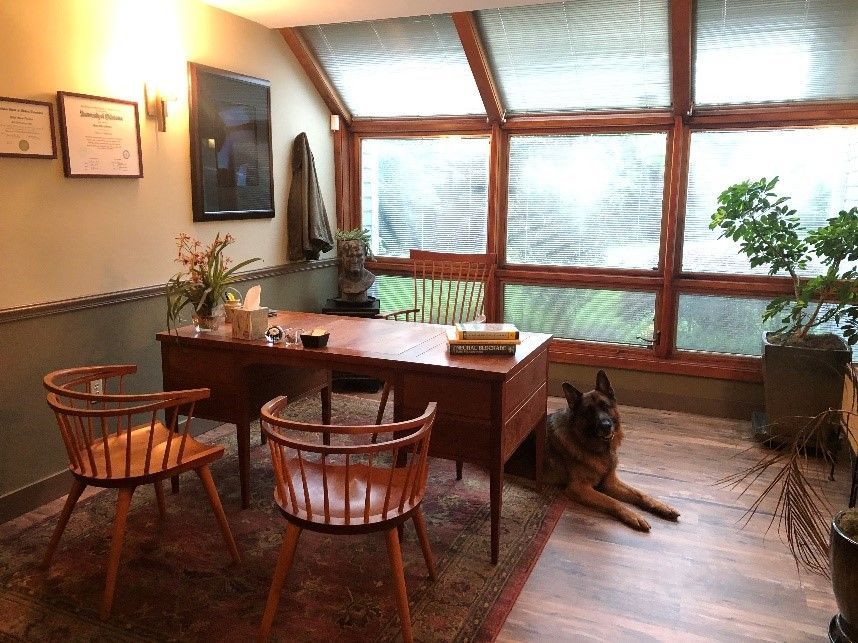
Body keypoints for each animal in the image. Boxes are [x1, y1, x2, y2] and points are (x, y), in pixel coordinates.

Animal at [544, 370, 680, 532]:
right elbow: (612, 501)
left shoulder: (610, 483)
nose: (606, 426)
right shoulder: (579, 488)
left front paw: (662, 506)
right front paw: (633, 516)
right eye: (588, 412)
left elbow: (640, 493)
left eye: (605, 406)